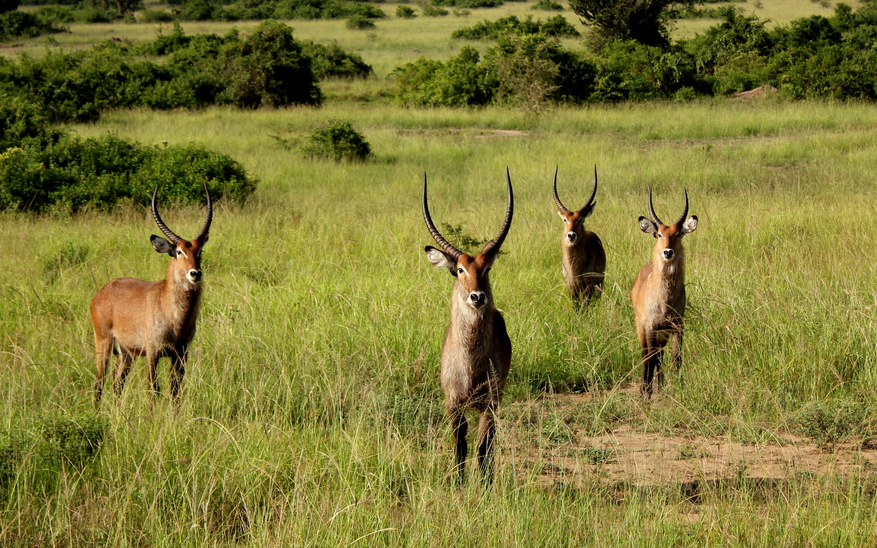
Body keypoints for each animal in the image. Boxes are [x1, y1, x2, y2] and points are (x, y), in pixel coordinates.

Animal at [90, 186, 212, 404]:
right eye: (179, 251)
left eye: (200, 251)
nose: (195, 273)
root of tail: (104, 290)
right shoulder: (153, 352)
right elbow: (153, 388)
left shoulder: (181, 353)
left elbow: (175, 390)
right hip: (103, 343)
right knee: (99, 382)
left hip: (126, 353)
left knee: (117, 382)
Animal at [420, 170, 510, 484]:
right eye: (460, 269)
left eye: (487, 268)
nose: (477, 297)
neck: (470, 363)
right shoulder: (453, 403)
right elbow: (460, 447)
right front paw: (458, 486)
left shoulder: (490, 403)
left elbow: (483, 448)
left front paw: (484, 487)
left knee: (490, 445)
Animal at [552, 165, 604, 310]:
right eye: (565, 219)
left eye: (581, 219)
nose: (571, 235)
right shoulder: (571, 286)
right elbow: (576, 307)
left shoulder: (588, 286)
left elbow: (585, 307)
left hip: (600, 281)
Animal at [628, 191, 700, 396]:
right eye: (659, 234)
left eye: (678, 234)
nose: (668, 252)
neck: (665, 299)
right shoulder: (651, 326)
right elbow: (649, 357)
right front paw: (645, 392)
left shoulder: (677, 326)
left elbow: (676, 357)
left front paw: (679, 386)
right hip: (642, 327)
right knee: (647, 354)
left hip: (663, 332)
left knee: (660, 354)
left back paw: (660, 386)